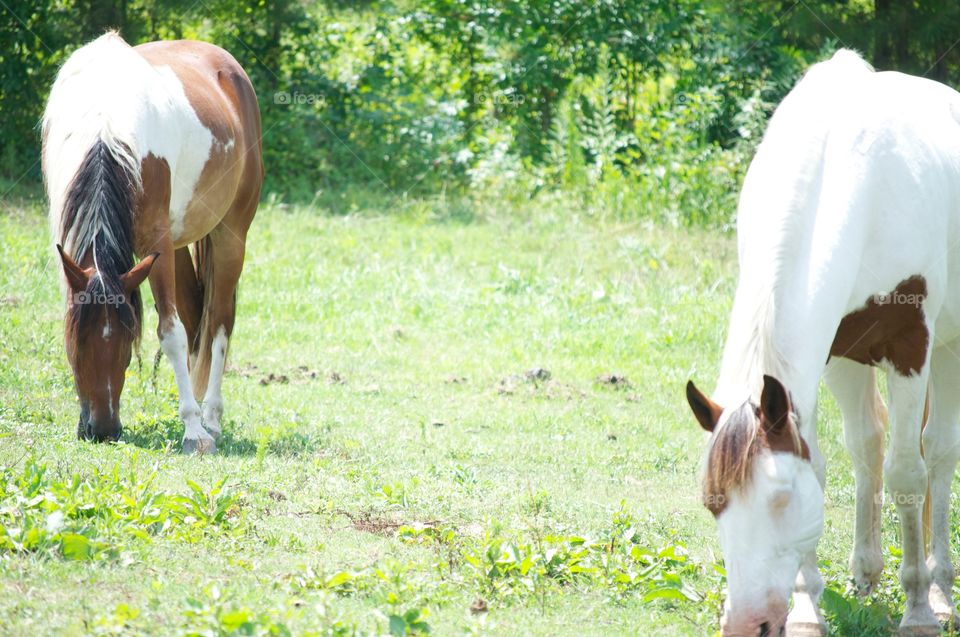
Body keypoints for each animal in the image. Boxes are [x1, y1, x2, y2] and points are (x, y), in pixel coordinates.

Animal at [43, 32, 263, 454]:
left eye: (127, 346)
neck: (103, 126)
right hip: (178, 246)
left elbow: (171, 334)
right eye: (78, 342)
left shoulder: (154, 242)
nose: (102, 431)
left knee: (219, 322)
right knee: (196, 315)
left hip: (230, 235)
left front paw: (193, 431)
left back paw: (210, 417)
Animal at [686, 49, 960, 637]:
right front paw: (808, 609)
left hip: (950, 346)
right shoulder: (822, 358)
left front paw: (918, 609)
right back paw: (866, 572)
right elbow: (830, 460)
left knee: (938, 451)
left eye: (781, 499)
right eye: (713, 503)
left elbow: (907, 472)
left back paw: (941, 590)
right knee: (867, 444)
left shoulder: (911, 347)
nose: (746, 625)